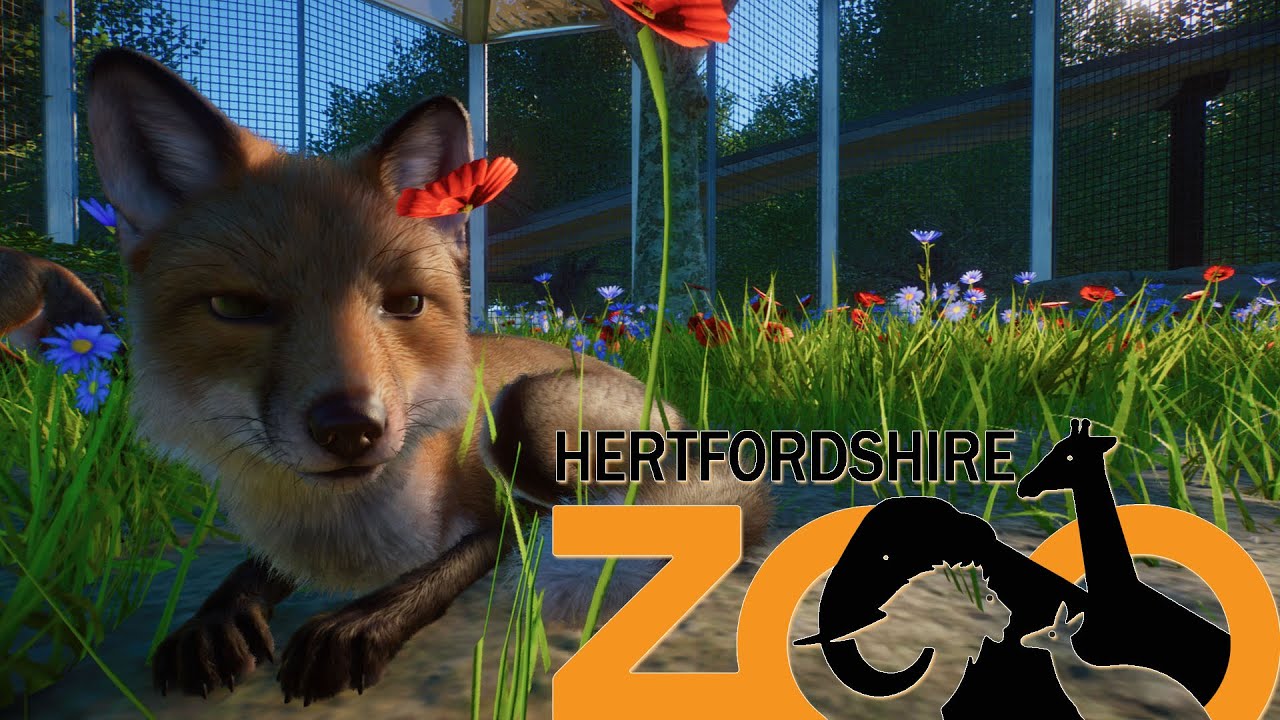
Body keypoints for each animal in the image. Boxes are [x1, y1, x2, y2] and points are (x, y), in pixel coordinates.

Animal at [83, 48, 773, 706]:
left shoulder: (496, 511)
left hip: (529, 411)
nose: (350, 429)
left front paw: (360, 623)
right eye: (236, 307)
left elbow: (461, 558)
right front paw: (213, 622)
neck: (346, 539)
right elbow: (250, 571)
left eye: (406, 303)